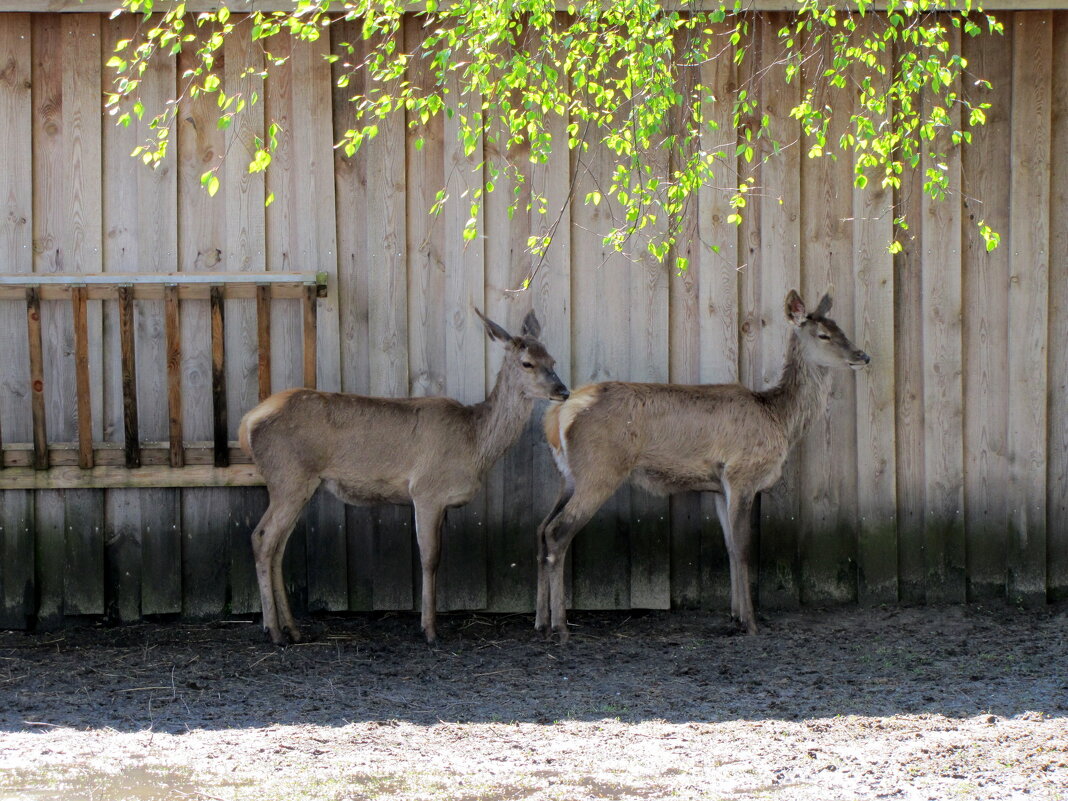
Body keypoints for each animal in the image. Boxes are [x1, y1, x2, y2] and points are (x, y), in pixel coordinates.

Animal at [239, 307, 572, 645]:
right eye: (527, 362)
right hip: (288, 476)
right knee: (262, 538)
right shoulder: (426, 491)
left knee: (277, 545)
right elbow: (430, 557)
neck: (473, 444)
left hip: (300, 484)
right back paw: (275, 631)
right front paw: (429, 629)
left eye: (552, 360)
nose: (563, 391)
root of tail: (248, 423)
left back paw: (292, 628)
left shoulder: (442, 503)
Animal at [538, 292, 871, 645]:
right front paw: (751, 623)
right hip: (599, 470)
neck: (779, 418)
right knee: (558, 531)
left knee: (542, 528)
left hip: (569, 476)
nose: (863, 356)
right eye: (823, 335)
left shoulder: (718, 487)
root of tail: (556, 416)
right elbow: (742, 547)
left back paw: (541, 622)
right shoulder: (741, 474)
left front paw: (735, 616)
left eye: (841, 329)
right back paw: (560, 626)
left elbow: (729, 546)